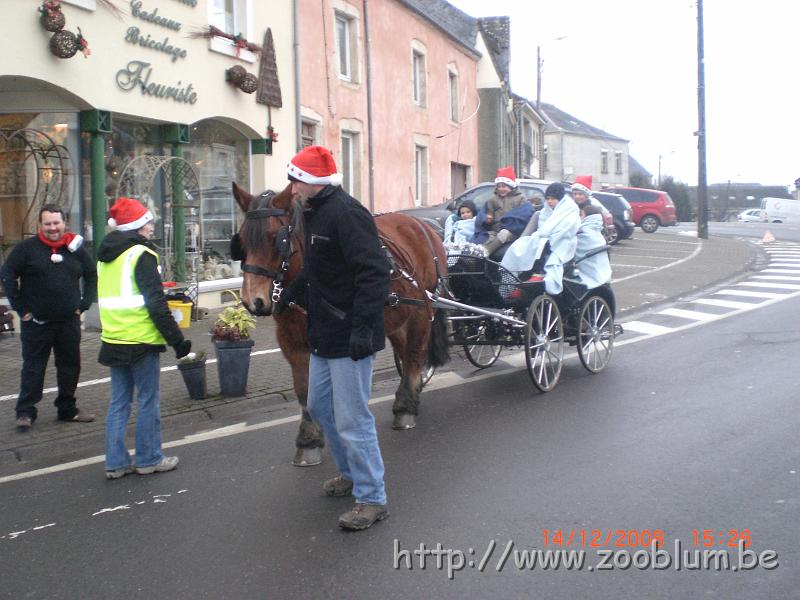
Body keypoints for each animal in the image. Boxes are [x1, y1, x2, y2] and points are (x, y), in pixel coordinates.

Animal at [234, 183, 454, 468]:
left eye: (276, 238)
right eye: (241, 239)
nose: (254, 301)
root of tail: (421, 225)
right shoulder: (293, 344)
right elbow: (304, 391)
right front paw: (309, 441)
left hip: (421, 310)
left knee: (414, 355)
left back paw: (405, 408)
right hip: (396, 319)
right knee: (405, 354)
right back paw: (411, 395)